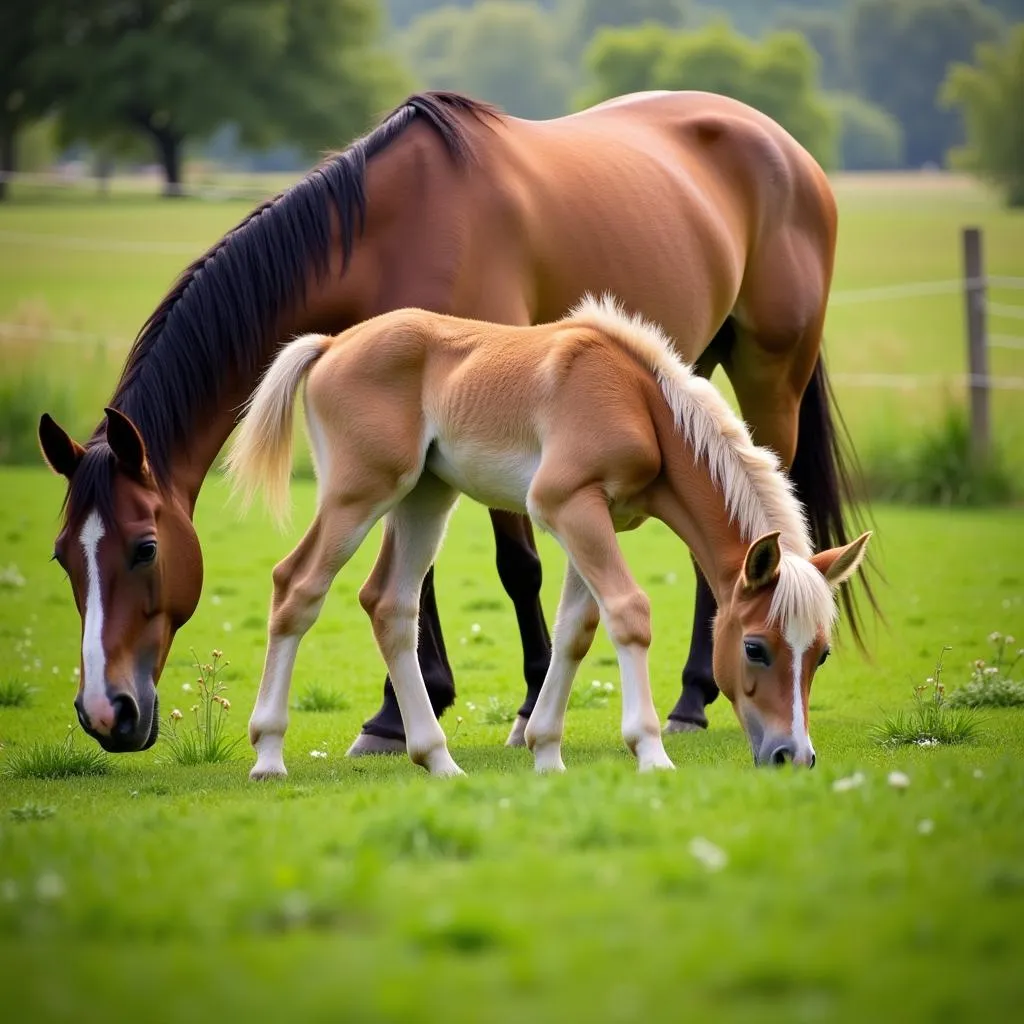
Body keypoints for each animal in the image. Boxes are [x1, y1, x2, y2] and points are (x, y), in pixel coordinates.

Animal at [226, 296, 872, 774]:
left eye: (821, 653)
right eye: (755, 647)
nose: (793, 756)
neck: (640, 401)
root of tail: (332, 344)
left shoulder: (595, 519)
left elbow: (577, 631)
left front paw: (546, 753)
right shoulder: (568, 505)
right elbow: (628, 613)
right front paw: (651, 752)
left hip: (424, 499)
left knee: (389, 605)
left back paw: (439, 762)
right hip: (358, 494)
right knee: (297, 586)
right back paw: (269, 756)